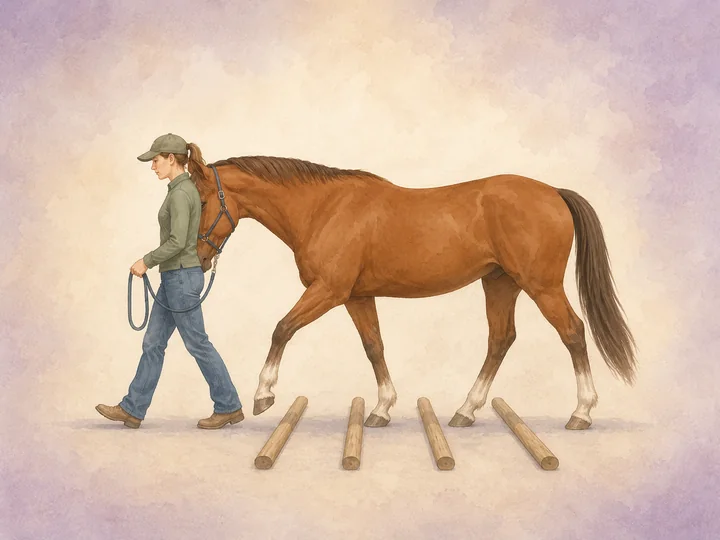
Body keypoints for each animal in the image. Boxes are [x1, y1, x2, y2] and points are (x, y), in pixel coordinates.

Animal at [188, 155, 637, 430]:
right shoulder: (356, 297)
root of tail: (554, 192)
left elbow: (282, 328)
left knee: (573, 333)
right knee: (500, 339)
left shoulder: (329, 290)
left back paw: (581, 412)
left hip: (541, 286)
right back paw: (465, 410)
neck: (323, 207)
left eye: (203, 200)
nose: (197, 258)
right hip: (500, 283)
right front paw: (382, 408)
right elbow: (374, 347)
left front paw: (264, 394)